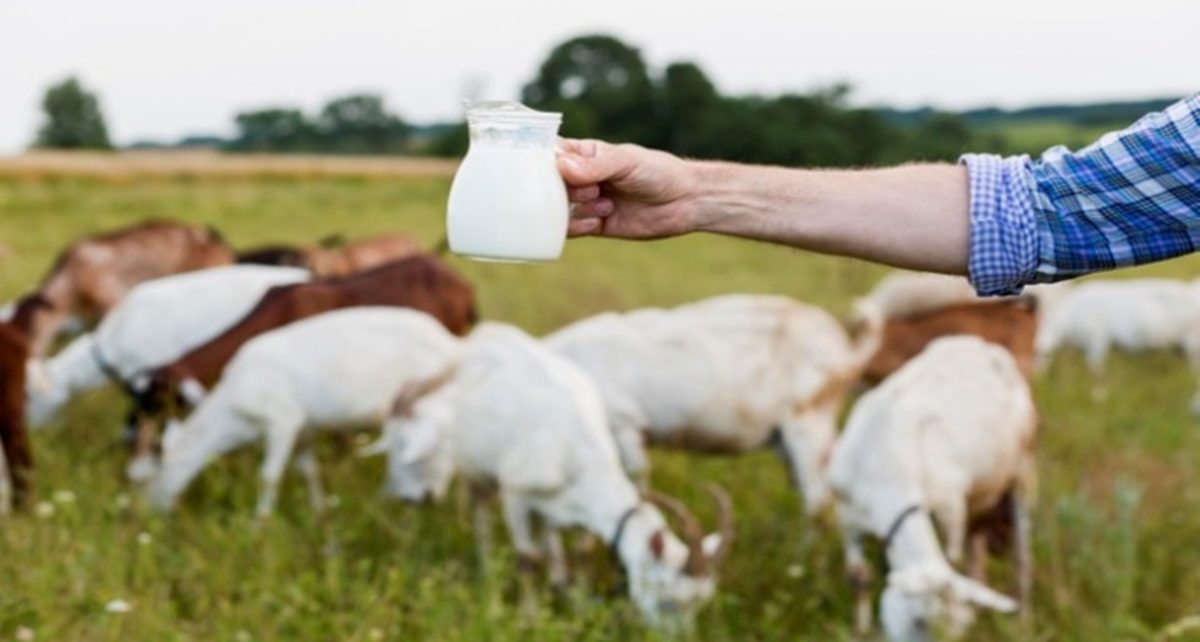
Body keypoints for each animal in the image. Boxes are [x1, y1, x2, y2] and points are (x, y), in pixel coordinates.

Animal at [148, 307, 463, 518]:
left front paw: (259, 521)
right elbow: (308, 471)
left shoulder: (282, 421)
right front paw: (319, 512)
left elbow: (269, 475)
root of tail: (451, 344)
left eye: (159, 468)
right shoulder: (304, 431)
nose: (151, 511)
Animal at [374, 324, 729, 628]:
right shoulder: (516, 495)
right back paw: (488, 570)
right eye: (668, 600)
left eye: (700, 603)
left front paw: (581, 606)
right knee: (482, 514)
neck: (574, 450)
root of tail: (482, 337)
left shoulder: (574, 505)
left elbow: (582, 552)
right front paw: (528, 618)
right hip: (475, 466)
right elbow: (526, 559)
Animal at [547, 294, 883, 516]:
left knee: (818, 501)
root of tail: (847, 351)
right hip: (786, 439)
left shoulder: (625, 426)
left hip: (810, 423)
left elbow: (637, 484)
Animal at [830, 338, 1036, 638]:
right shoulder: (847, 513)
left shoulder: (950, 511)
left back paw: (1023, 622)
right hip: (980, 496)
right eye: (917, 621)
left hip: (1023, 468)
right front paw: (861, 630)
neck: (887, 460)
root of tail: (981, 345)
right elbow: (858, 577)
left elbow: (953, 559)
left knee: (1022, 553)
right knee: (978, 546)